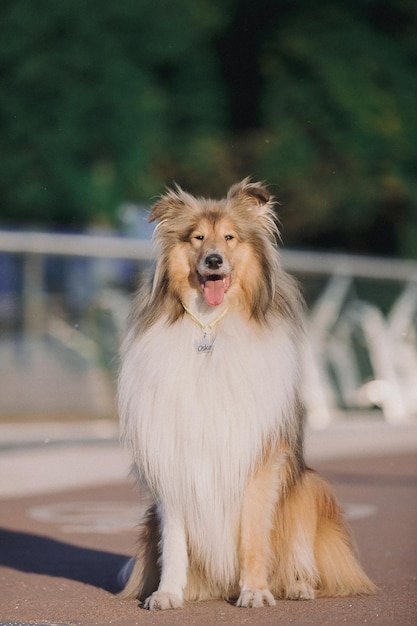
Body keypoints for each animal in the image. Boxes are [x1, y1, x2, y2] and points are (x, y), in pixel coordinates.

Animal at [116, 178, 374, 608]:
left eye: (230, 237)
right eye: (197, 237)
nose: (214, 260)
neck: (210, 331)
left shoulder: (259, 459)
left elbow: (253, 535)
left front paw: (254, 590)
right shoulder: (172, 456)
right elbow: (174, 543)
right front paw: (167, 593)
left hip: (308, 488)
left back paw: (297, 586)